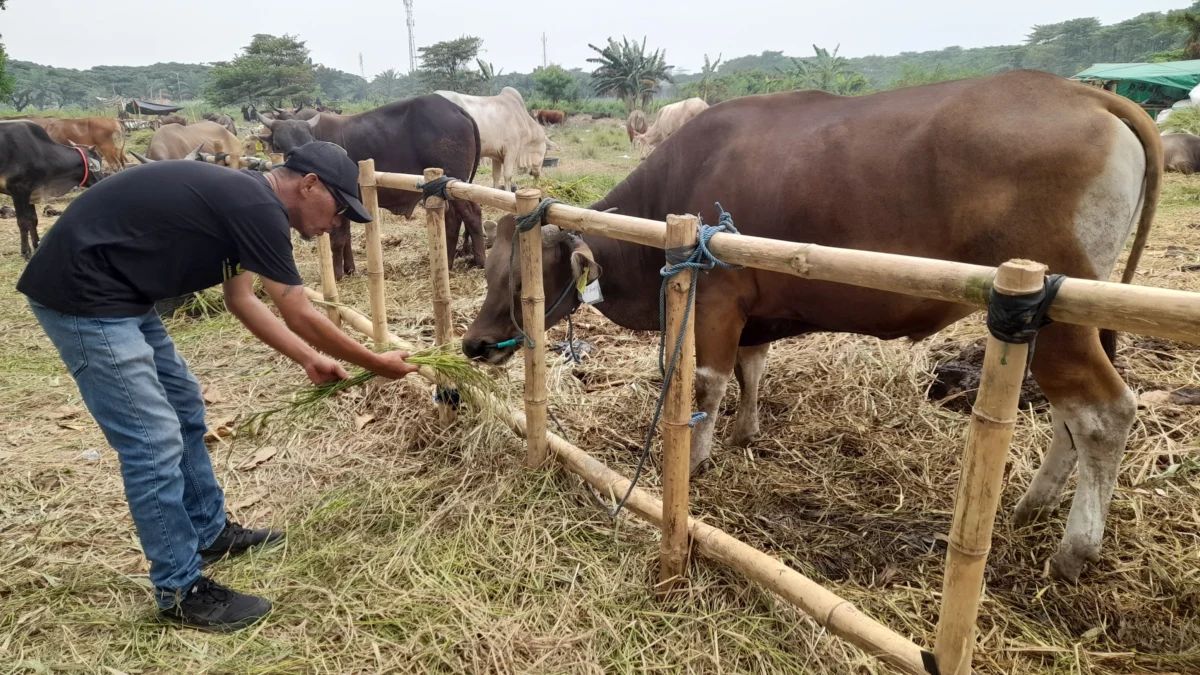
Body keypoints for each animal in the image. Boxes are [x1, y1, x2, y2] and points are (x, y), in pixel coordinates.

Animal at [460, 70, 1161, 581]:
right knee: (1070, 418)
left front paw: (700, 455)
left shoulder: (716, 299)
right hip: (1062, 329)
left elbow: (707, 381)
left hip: (1057, 323)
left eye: (517, 280)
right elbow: (751, 369)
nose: (474, 344)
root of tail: (1086, 94)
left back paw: (1075, 548)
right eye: (487, 268)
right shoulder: (751, 315)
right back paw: (1032, 505)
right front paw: (744, 431)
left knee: (1103, 414)